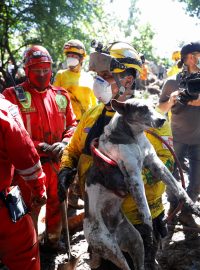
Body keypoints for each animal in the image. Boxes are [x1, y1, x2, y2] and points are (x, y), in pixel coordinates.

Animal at [83, 97, 200, 270]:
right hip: (110, 247)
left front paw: (192, 206)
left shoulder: (155, 163)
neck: (134, 137)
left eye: (153, 106)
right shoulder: (133, 176)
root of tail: (112, 231)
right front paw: (150, 229)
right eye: (142, 108)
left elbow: (178, 188)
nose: (162, 119)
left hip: (135, 241)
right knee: (124, 263)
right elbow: (146, 211)